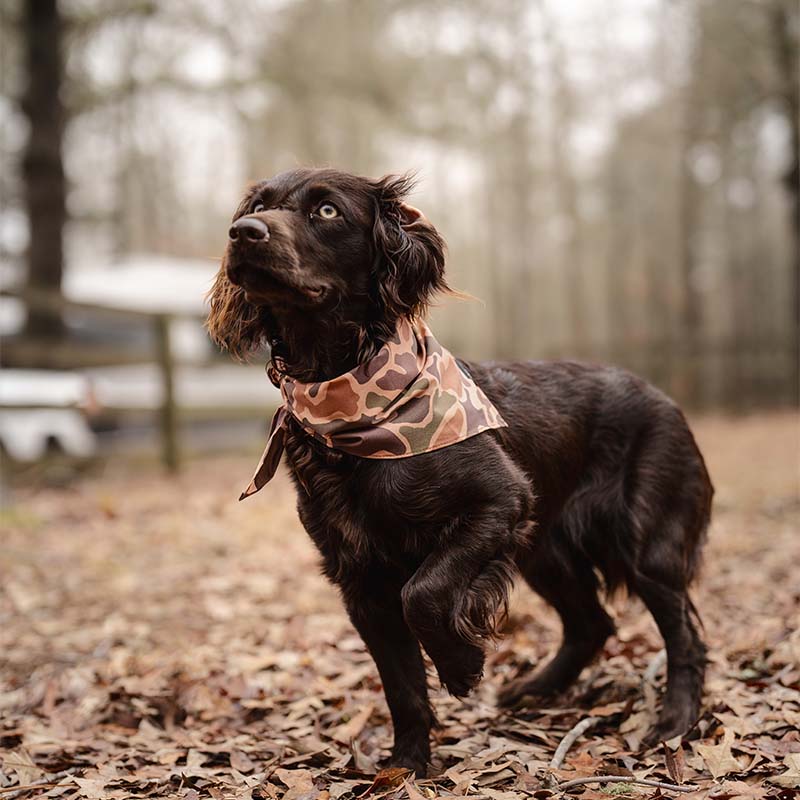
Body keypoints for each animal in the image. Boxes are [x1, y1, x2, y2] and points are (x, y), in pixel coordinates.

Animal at [206, 169, 712, 776]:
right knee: (592, 623)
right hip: (545, 552)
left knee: (683, 637)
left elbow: (424, 593)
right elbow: (402, 689)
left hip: (645, 542)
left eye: (326, 211)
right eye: (256, 206)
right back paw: (537, 688)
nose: (243, 232)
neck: (355, 410)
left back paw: (674, 722)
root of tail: (667, 398)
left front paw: (462, 663)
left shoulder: (500, 501)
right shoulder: (360, 580)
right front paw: (406, 768)